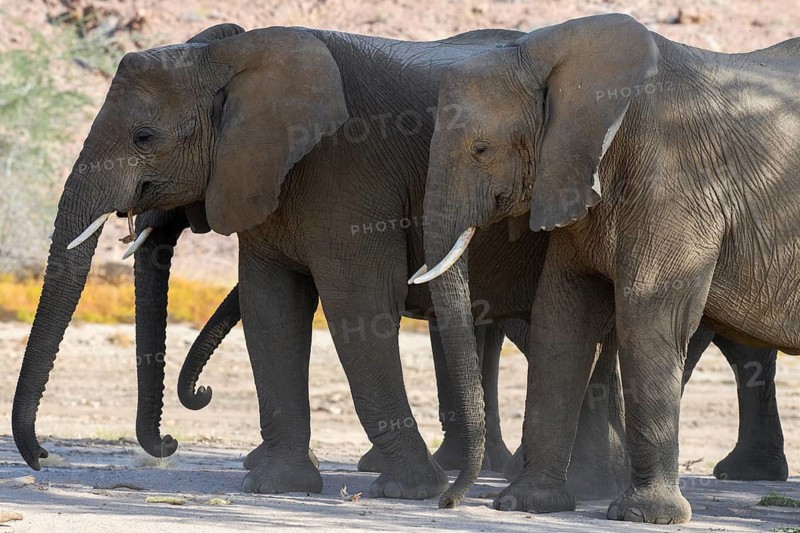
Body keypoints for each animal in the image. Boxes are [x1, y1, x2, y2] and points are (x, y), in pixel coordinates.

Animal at [414, 12, 800, 523]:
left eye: (481, 149)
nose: (448, 501)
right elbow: (562, 315)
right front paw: (526, 503)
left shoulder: (675, 181)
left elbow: (648, 316)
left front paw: (645, 516)